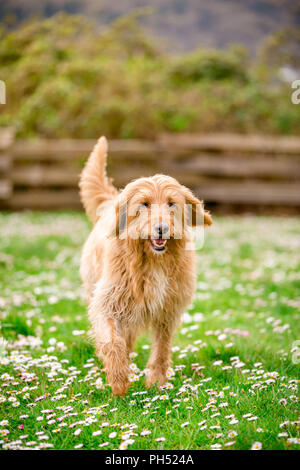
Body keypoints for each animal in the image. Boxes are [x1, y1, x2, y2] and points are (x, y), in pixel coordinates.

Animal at [78, 137, 212, 396]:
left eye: (171, 203)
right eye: (145, 204)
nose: (161, 228)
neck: (152, 260)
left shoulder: (167, 312)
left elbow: (161, 349)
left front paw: (157, 383)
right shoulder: (107, 302)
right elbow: (112, 341)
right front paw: (119, 381)